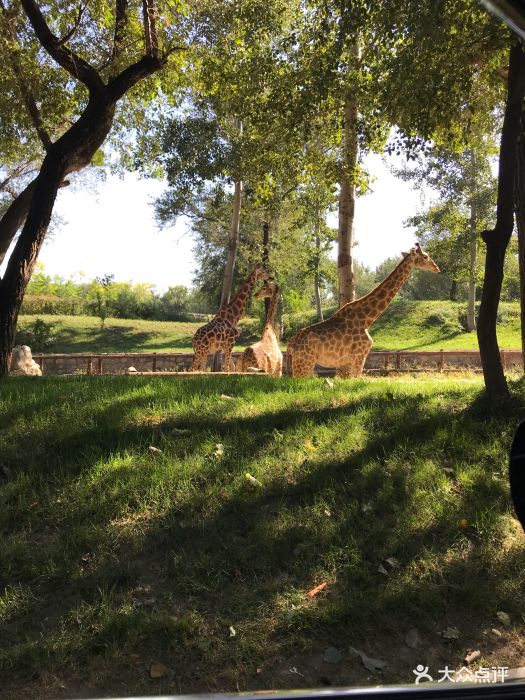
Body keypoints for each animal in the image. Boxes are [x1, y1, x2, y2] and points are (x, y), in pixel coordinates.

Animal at [284, 245, 440, 378]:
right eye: (425, 256)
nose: (437, 268)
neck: (367, 319)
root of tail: (290, 345)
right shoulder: (360, 355)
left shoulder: (354, 358)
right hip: (304, 363)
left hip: (302, 363)